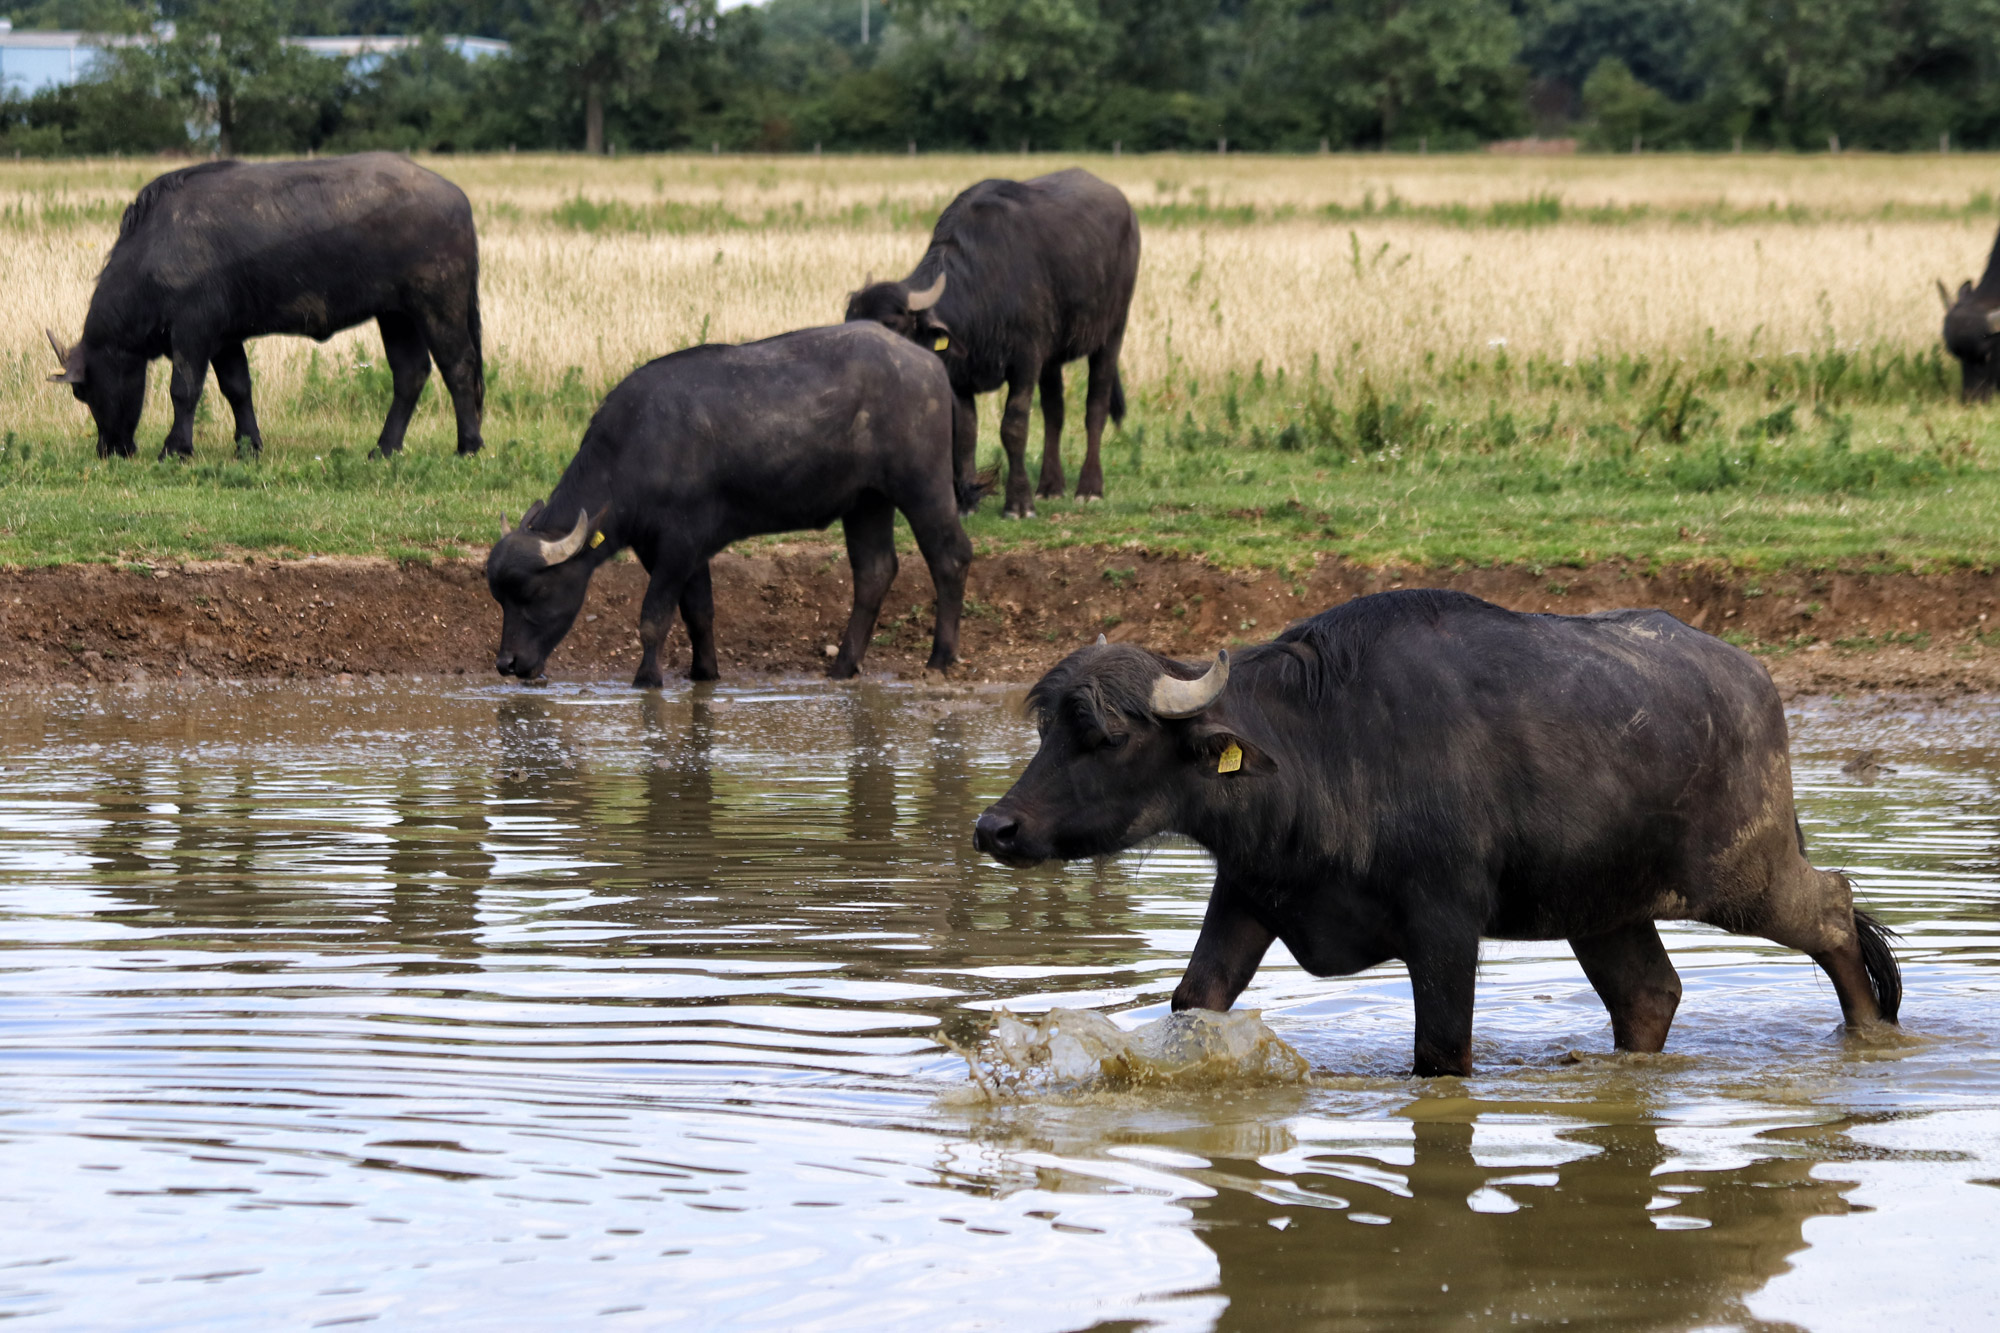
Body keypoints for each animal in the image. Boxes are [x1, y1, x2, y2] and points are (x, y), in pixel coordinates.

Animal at [44, 152, 484, 456]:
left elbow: (184, 389)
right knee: (410, 374)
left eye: (82, 392)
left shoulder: (193, 332)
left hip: (438, 305)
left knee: (459, 366)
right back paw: (384, 448)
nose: (109, 450)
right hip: (396, 315)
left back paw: (468, 445)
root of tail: (459, 198)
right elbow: (237, 388)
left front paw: (175, 448)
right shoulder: (224, 339)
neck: (151, 255)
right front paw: (248, 446)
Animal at [484, 322, 968, 684]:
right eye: (498, 599)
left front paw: (647, 679)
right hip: (867, 501)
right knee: (874, 571)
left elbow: (653, 617)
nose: (507, 664)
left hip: (922, 485)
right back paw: (843, 666)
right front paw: (704, 673)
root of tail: (929, 364)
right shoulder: (671, 549)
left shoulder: (679, 545)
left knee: (950, 557)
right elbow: (699, 612)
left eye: (534, 592)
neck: (638, 448)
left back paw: (939, 659)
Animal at [836, 167, 1136, 520]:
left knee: (1095, 407)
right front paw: (966, 503)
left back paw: (1089, 488)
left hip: (1112, 332)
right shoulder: (959, 375)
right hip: (1052, 358)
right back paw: (1050, 486)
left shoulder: (1026, 360)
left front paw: (1018, 504)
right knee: (1054, 412)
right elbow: (965, 432)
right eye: (848, 323)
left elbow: (1014, 426)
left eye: (892, 326)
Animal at [976, 588, 1896, 1072]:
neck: (1324, 749)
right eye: (1046, 728)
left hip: (1743, 871)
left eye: (1106, 735)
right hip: (1604, 905)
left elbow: (1441, 1048)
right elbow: (1195, 999)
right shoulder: (1247, 893)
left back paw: (1870, 1033)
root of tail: (1752, 682)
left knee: (1832, 910)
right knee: (1649, 992)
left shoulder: (1445, 925)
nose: (996, 825)